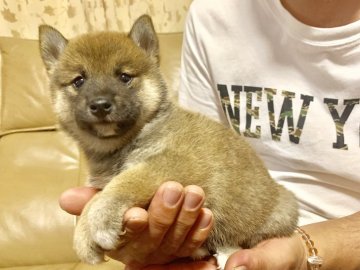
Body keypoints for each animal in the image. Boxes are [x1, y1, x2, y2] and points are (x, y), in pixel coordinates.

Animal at [38, 15, 298, 268]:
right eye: (79, 81)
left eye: (124, 77)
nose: (100, 104)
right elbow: (98, 196)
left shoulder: (171, 162)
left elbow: (122, 184)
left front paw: (97, 222)